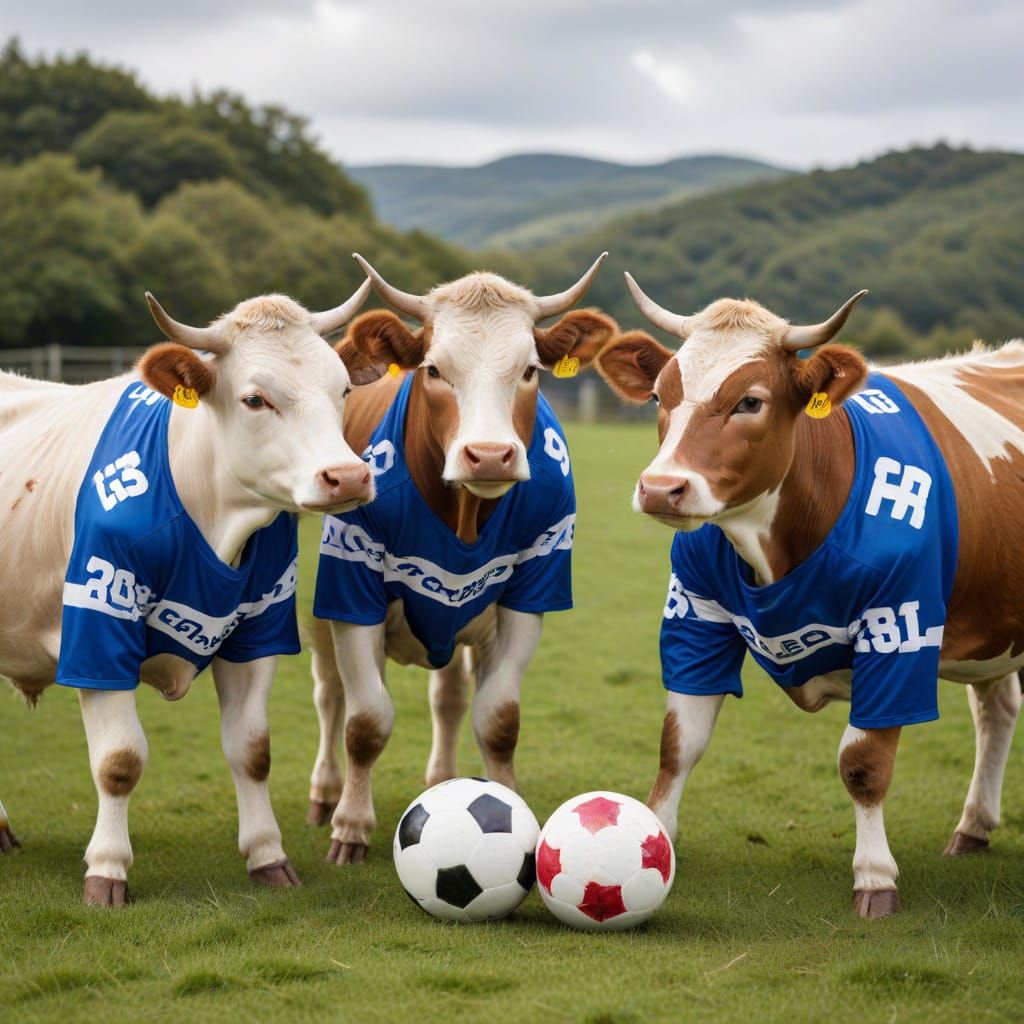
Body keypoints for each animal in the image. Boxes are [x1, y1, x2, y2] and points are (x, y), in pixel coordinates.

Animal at [0, 282, 375, 904]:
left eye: (342, 388)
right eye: (255, 399)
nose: (347, 476)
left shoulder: (259, 631)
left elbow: (252, 751)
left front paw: (267, 856)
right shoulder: (99, 627)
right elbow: (119, 761)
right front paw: (107, 868)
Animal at [305, 253, 616, 864]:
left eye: (530, 370)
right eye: (433, 370)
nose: (490, 455)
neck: (463, 514)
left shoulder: (530, 593)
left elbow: (498, 719)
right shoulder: (352, 592)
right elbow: (365, 721)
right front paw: (351, 827)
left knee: (447, 698)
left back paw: (440, 780)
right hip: (313, 609)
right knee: (330, 697)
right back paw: (326, 792)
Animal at [594, 273, 1024, 918]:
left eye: (750, 401)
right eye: (659, 397)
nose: (662, 488)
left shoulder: (897, 627)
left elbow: (863, 763)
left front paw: (874, 876)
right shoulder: (697, 613)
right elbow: (679, 743)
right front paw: (656, 837)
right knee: (996, 708)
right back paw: (973, 827)